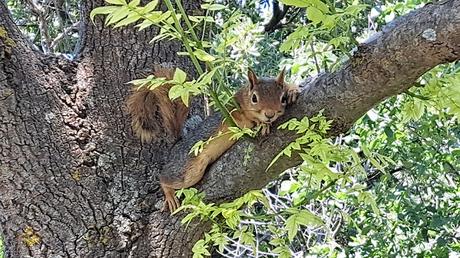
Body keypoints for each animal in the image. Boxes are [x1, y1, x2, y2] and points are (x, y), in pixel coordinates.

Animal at [126, 65, 298, 213]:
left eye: (282, 98)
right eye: (254, 98)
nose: (270, 114)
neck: (244, 97)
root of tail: (176, 146)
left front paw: (292, 90)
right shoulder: (231, 111)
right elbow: (243, 119)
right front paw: (261, 123)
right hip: (186, 170)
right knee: (164, 178)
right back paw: (169, 194)